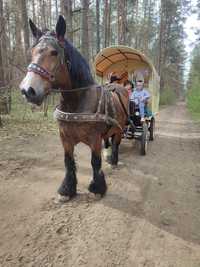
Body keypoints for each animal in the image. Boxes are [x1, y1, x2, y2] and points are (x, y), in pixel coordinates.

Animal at [19, 15, 129, 201]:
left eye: (54, 52)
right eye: (32, 51)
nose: (28, 90)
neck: (76, 104)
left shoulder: (94, 139)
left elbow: (95, 162)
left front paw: (97, 188)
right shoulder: (65, 138)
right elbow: (68, 162)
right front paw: (67, 190)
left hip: (119, 130)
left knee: (116, 143)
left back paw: (113, 161)